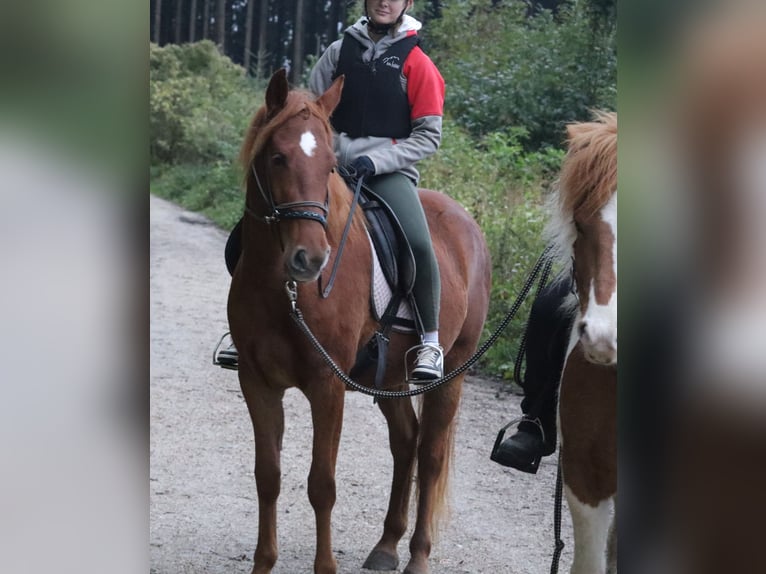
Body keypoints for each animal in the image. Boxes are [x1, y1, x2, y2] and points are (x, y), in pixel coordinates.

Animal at [227, 69, 491, 574]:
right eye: (277, 157)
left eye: (331, 164)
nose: (310, 259)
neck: (284, 290)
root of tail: (468, 224)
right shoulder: (257, 382)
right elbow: (267, 476)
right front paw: (263, 563)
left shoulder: (327, 386)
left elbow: (322, 484)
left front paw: (325, 566)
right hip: (388, 378)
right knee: (406, 442)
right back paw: (387, 545)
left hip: (451, 374)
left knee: (429, 455)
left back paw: (417, 556)